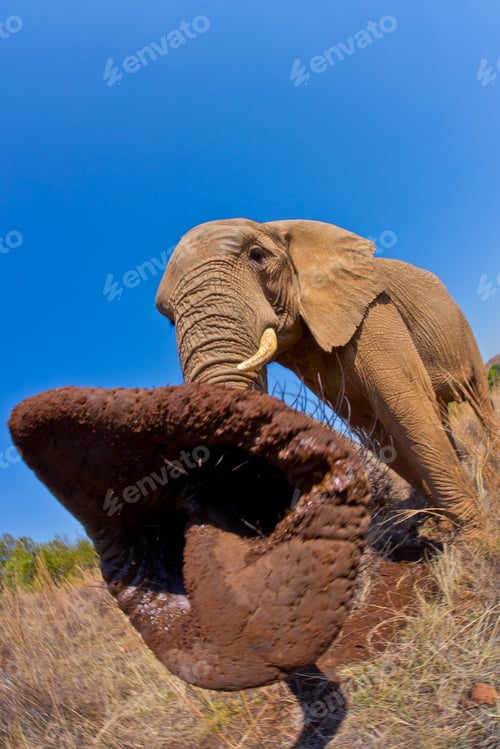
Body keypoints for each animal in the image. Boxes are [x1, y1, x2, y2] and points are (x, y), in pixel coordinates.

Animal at [156, 218, 498, 529]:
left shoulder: (372, 309)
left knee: (478, 398)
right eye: (170, 320)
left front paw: (475, 534)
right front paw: (448, 528)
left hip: (461, 328)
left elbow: (403, 405)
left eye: (257, 256)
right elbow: (375, 429)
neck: (278, 227)